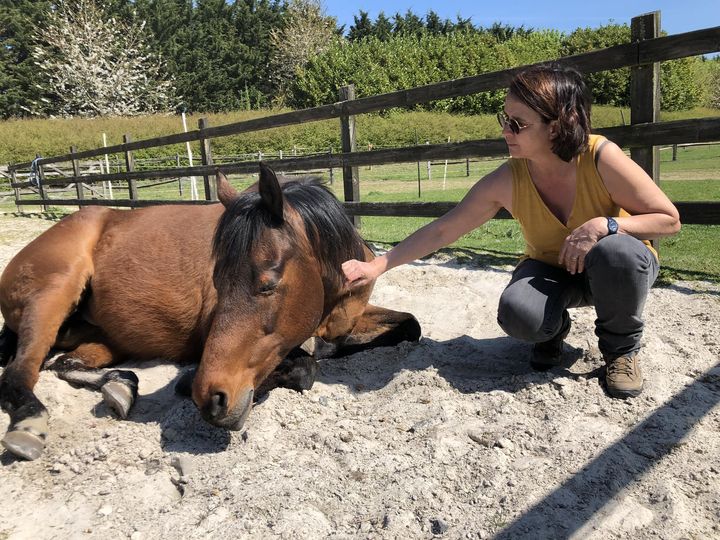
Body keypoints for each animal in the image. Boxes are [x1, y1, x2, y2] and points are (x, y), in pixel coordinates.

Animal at [0, 163, 422, 460]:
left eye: (267, 284)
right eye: (216, 280)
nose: (210, 397)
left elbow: (409, 327)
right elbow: (305, 368)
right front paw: (189, 382)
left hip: (106, 338)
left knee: (65, 363)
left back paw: (119, 386)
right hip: (53, 295)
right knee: (20, 372)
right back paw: (29, 423)